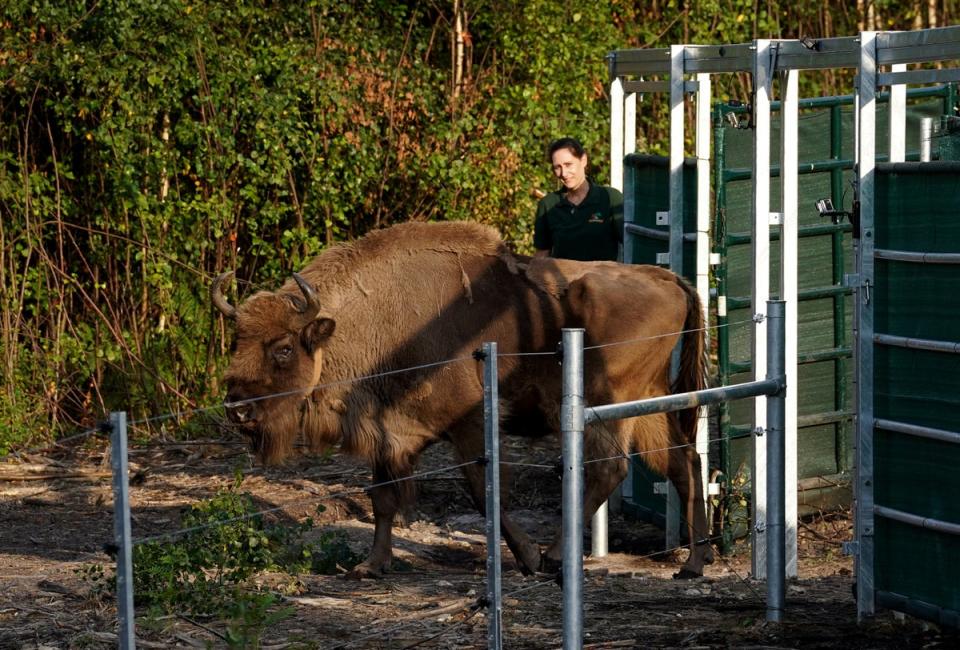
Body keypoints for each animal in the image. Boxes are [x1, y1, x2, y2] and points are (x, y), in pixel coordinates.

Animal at [218, 220, 712, 576]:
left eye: (283, 348)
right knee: (684, 462)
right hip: (648, 404)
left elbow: (483, 492)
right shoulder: (384, 430)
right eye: (238, 341)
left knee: (611, 469)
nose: (237, 410)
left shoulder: (469, 424)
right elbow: (382, 498)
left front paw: (527, 558)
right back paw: (693, 563)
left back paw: (555, 556)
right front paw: (370, 566)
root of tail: (668, 278)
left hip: (608, 403)